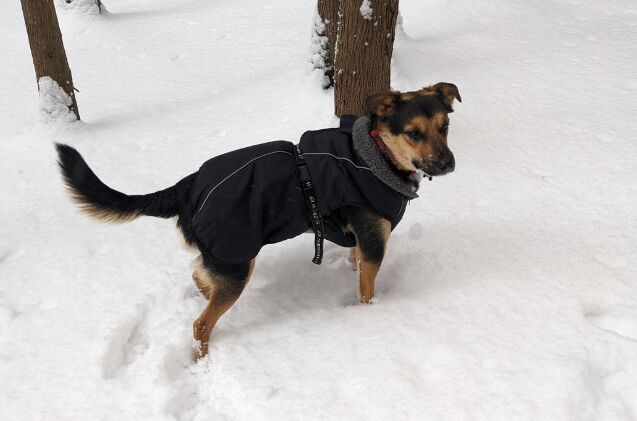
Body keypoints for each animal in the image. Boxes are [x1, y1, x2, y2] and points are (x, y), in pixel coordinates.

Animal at [56, 83, 462, 358]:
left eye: (444, 126)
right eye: (413, 133)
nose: (448, 164)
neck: (375, 157)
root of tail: (187, 186)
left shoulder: (362, 242)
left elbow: (355, 265)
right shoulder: (374, 241)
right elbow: (367, 291)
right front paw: (371, 318)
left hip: (222, 259)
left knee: (198, 276)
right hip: (236, 261)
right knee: (200, 324)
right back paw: (204, 360)